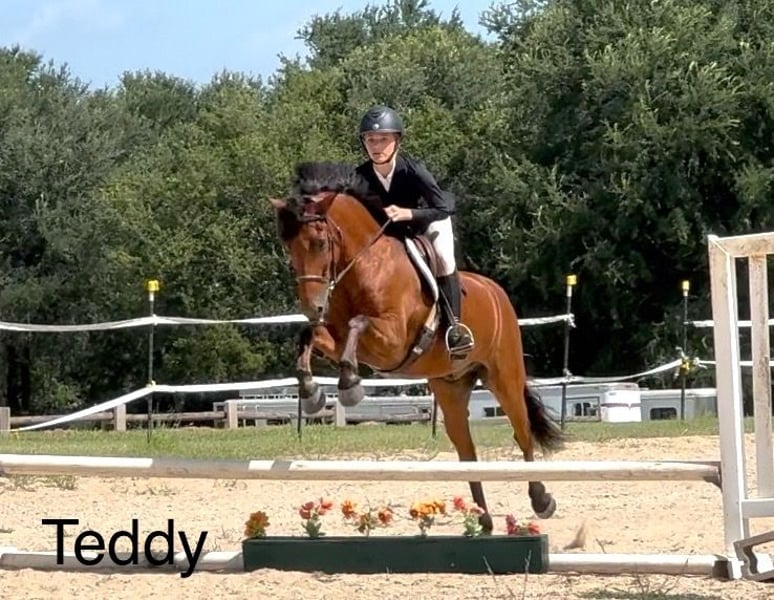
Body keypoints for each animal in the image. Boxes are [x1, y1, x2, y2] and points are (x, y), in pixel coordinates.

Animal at [269, 161, 565, 531]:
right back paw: (482, 520)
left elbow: (357, 324)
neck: (366, 264)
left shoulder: (392, 339)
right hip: (451, 388)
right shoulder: (338, 337)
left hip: (504, 377)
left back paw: (542, 501)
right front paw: (312, 393)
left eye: (320, 242)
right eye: (288, 247)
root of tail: (497, 293)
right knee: (467, 450)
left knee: (522, 433)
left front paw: (349, 385)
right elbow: (311, 335)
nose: (313, 307)